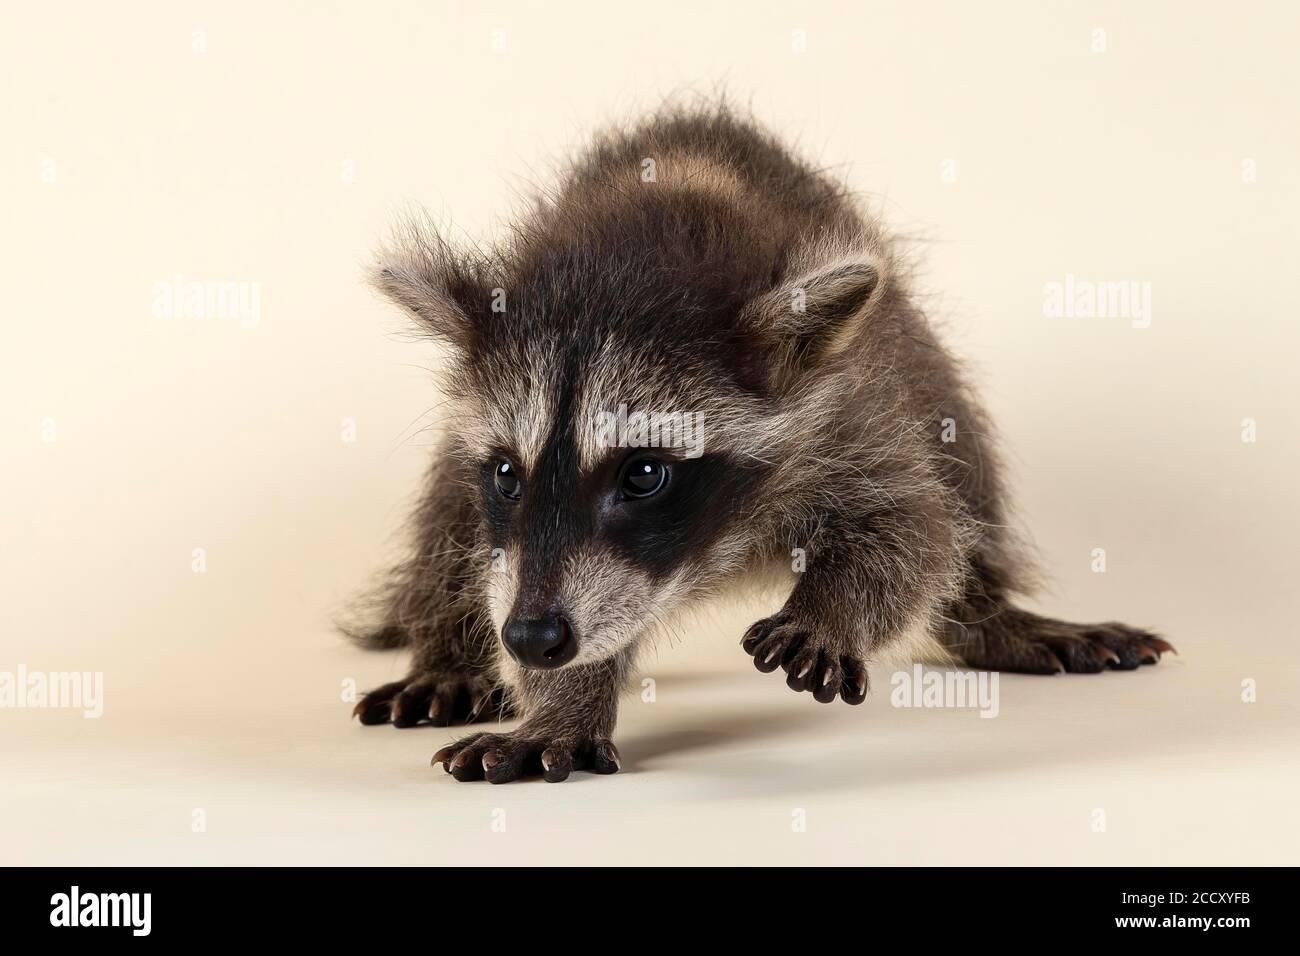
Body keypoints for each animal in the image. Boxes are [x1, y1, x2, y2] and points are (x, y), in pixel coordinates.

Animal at [349, 103, 1172, 783]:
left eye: (643, 474)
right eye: (508, 475)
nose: (529, 637)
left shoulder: (852, 404)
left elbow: (915, 528)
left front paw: (833, 609)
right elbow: (482, 541)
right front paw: (560, 704)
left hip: (913, 354)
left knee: (964, 457)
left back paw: (990, 614)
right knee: (445, 520)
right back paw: (446, 651)